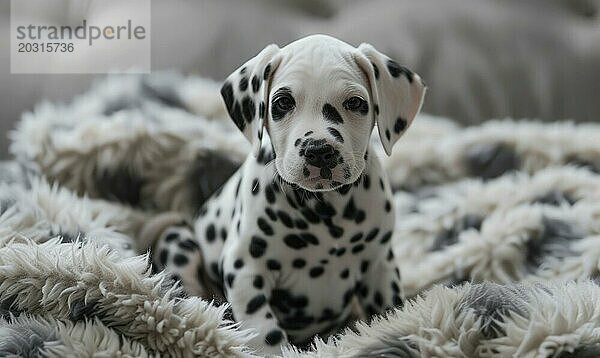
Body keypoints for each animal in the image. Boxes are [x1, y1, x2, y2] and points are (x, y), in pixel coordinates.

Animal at [152, 35, 424, 354]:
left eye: (355, 103)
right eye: (283, 102)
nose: (319, 150)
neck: (326, 212)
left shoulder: (380, 266)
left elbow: (388, 313)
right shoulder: (245, 269)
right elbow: (264, 332)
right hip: (177, 241)